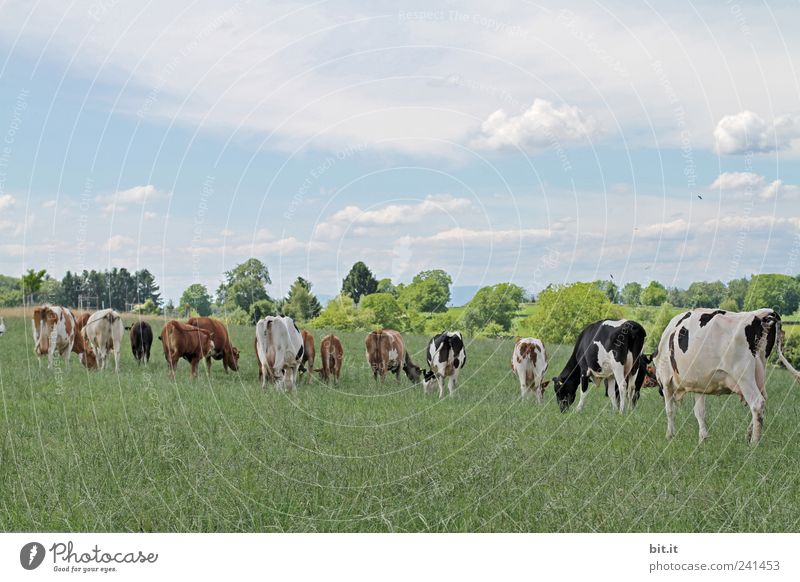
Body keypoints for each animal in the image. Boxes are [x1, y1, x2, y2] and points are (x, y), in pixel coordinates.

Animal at [652, 310, 800, 448]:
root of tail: (762, 314)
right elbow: (699, 412)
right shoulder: (699, 384)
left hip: (743, 374)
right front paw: (702, 439)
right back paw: (748, 434)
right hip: (759, 370)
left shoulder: (665, 382)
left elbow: (669, 410)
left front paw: (669, 435)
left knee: (757, 403)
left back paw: (754, 443)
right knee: (764, 399)